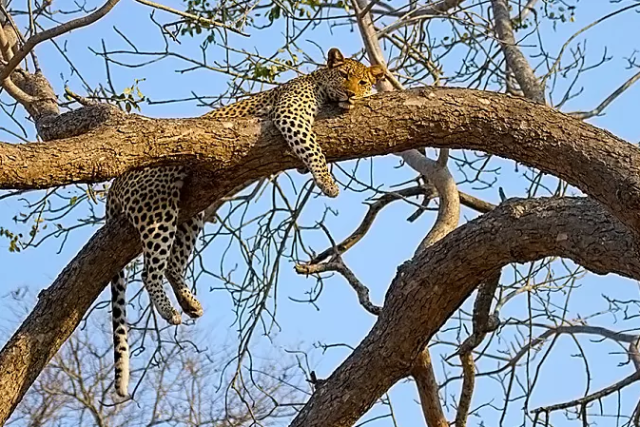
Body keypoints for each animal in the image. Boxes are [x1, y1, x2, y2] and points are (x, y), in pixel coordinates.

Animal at [107, 46, 384, 398]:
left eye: (363, 82)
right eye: (344, 75)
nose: (351, 94)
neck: (318, 83)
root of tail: (114, 185)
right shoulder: (291, 114)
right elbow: (312, 148)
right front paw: (327, 182)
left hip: (189, 214)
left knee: (172, 264)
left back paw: (190, 303)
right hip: (159, 204)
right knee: (149, 271)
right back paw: (171, 312)